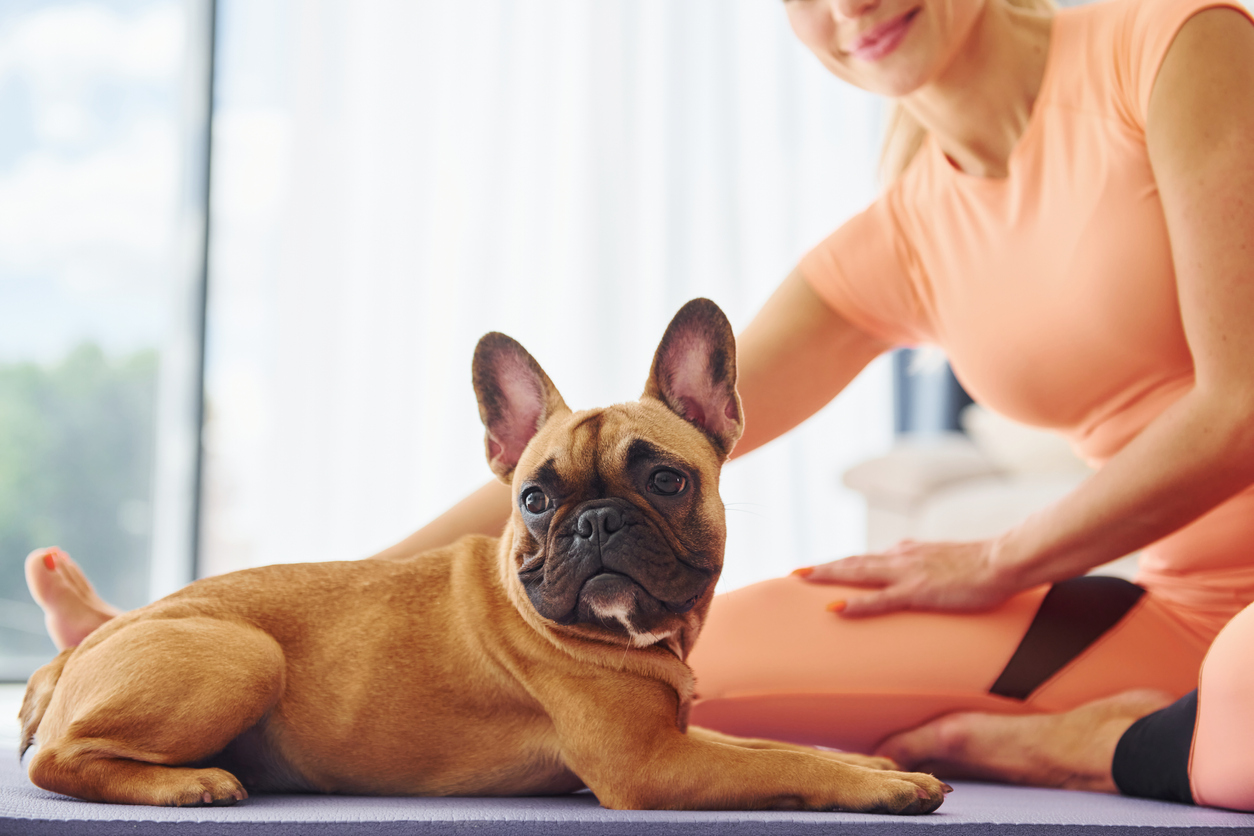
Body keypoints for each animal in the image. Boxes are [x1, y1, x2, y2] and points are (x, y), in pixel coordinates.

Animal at [19, 302, 943, 817]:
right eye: (535, 499)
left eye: (667, 480)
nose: (595, 521)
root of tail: (84, 647)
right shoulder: (651, 764)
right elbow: (780, 760)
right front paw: (885, 787)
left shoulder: (677, 734)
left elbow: (767, 741)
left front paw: (869, 760)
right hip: (245, 654)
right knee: (54, 763)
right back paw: (187, 784)